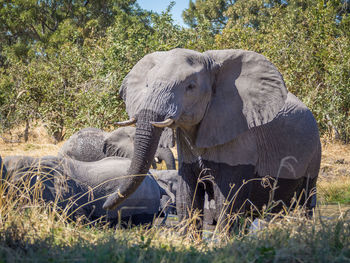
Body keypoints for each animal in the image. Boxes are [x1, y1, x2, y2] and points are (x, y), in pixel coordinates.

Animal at [102, 49, 322, 231]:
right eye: (147, 85)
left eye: (190, 87)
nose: (105, 205)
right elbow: (187, 196)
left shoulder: (239, 135)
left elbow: (228, 200)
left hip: (314, 153)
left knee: (306, 201)